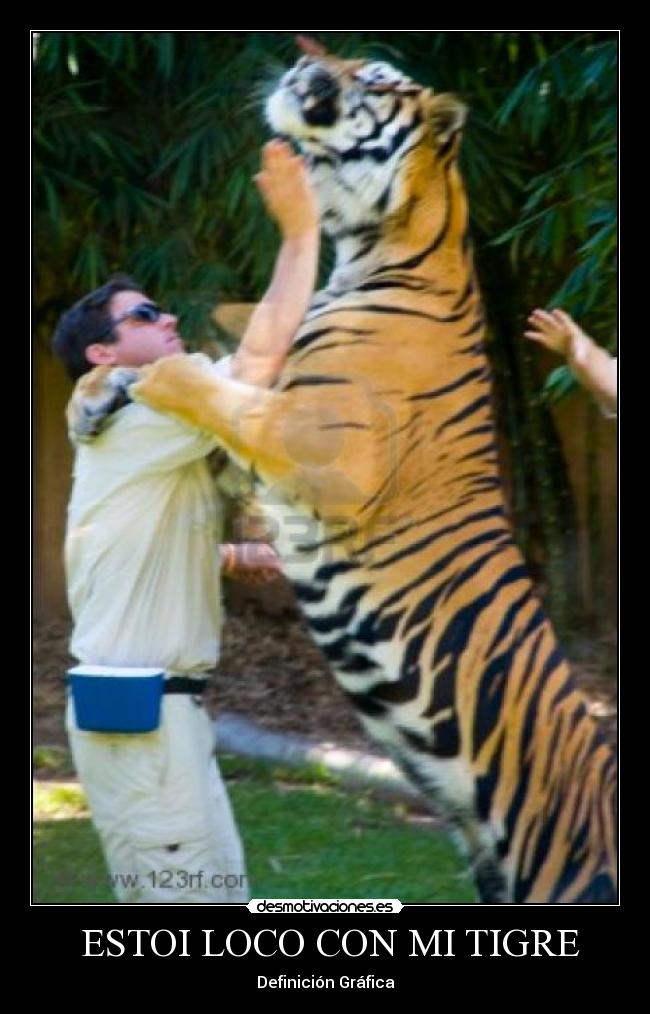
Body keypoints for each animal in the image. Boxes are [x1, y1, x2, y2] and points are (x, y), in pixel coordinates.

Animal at [71, 49, 617, 903]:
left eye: (374, 77)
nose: (304, 63)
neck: (371, 245)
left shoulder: (324, 455)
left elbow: (205, 377)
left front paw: (156, 375)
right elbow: (202, 374)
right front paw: (93, 397)